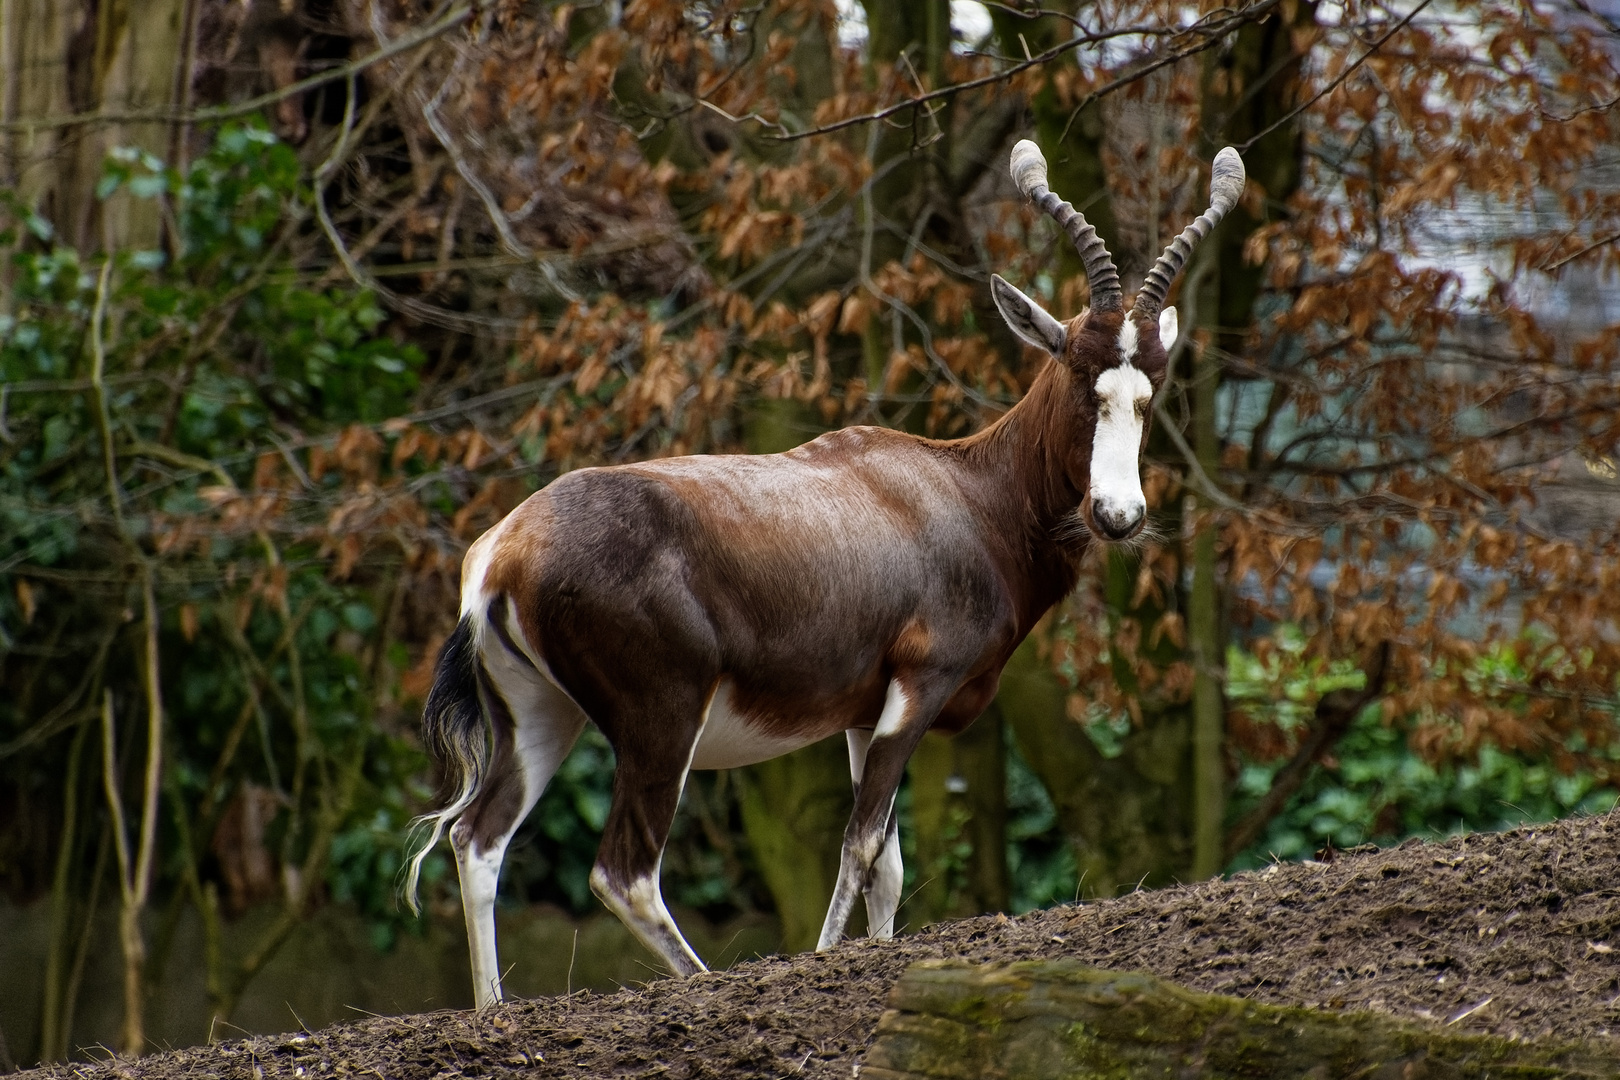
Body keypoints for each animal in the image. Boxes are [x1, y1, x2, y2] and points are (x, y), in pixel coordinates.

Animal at [411, 139, 1244, 1010]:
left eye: (1150, 391)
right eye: (1083, 376)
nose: (1118, 514)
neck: (962, 489)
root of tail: (504, 550)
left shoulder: (863, 712)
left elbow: (889, 865)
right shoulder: (920, 687)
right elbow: (863, 846)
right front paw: (825, 960)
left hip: (541, 714)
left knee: (477, 840)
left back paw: (493, 1011)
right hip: (660, 721)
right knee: (623, 872)